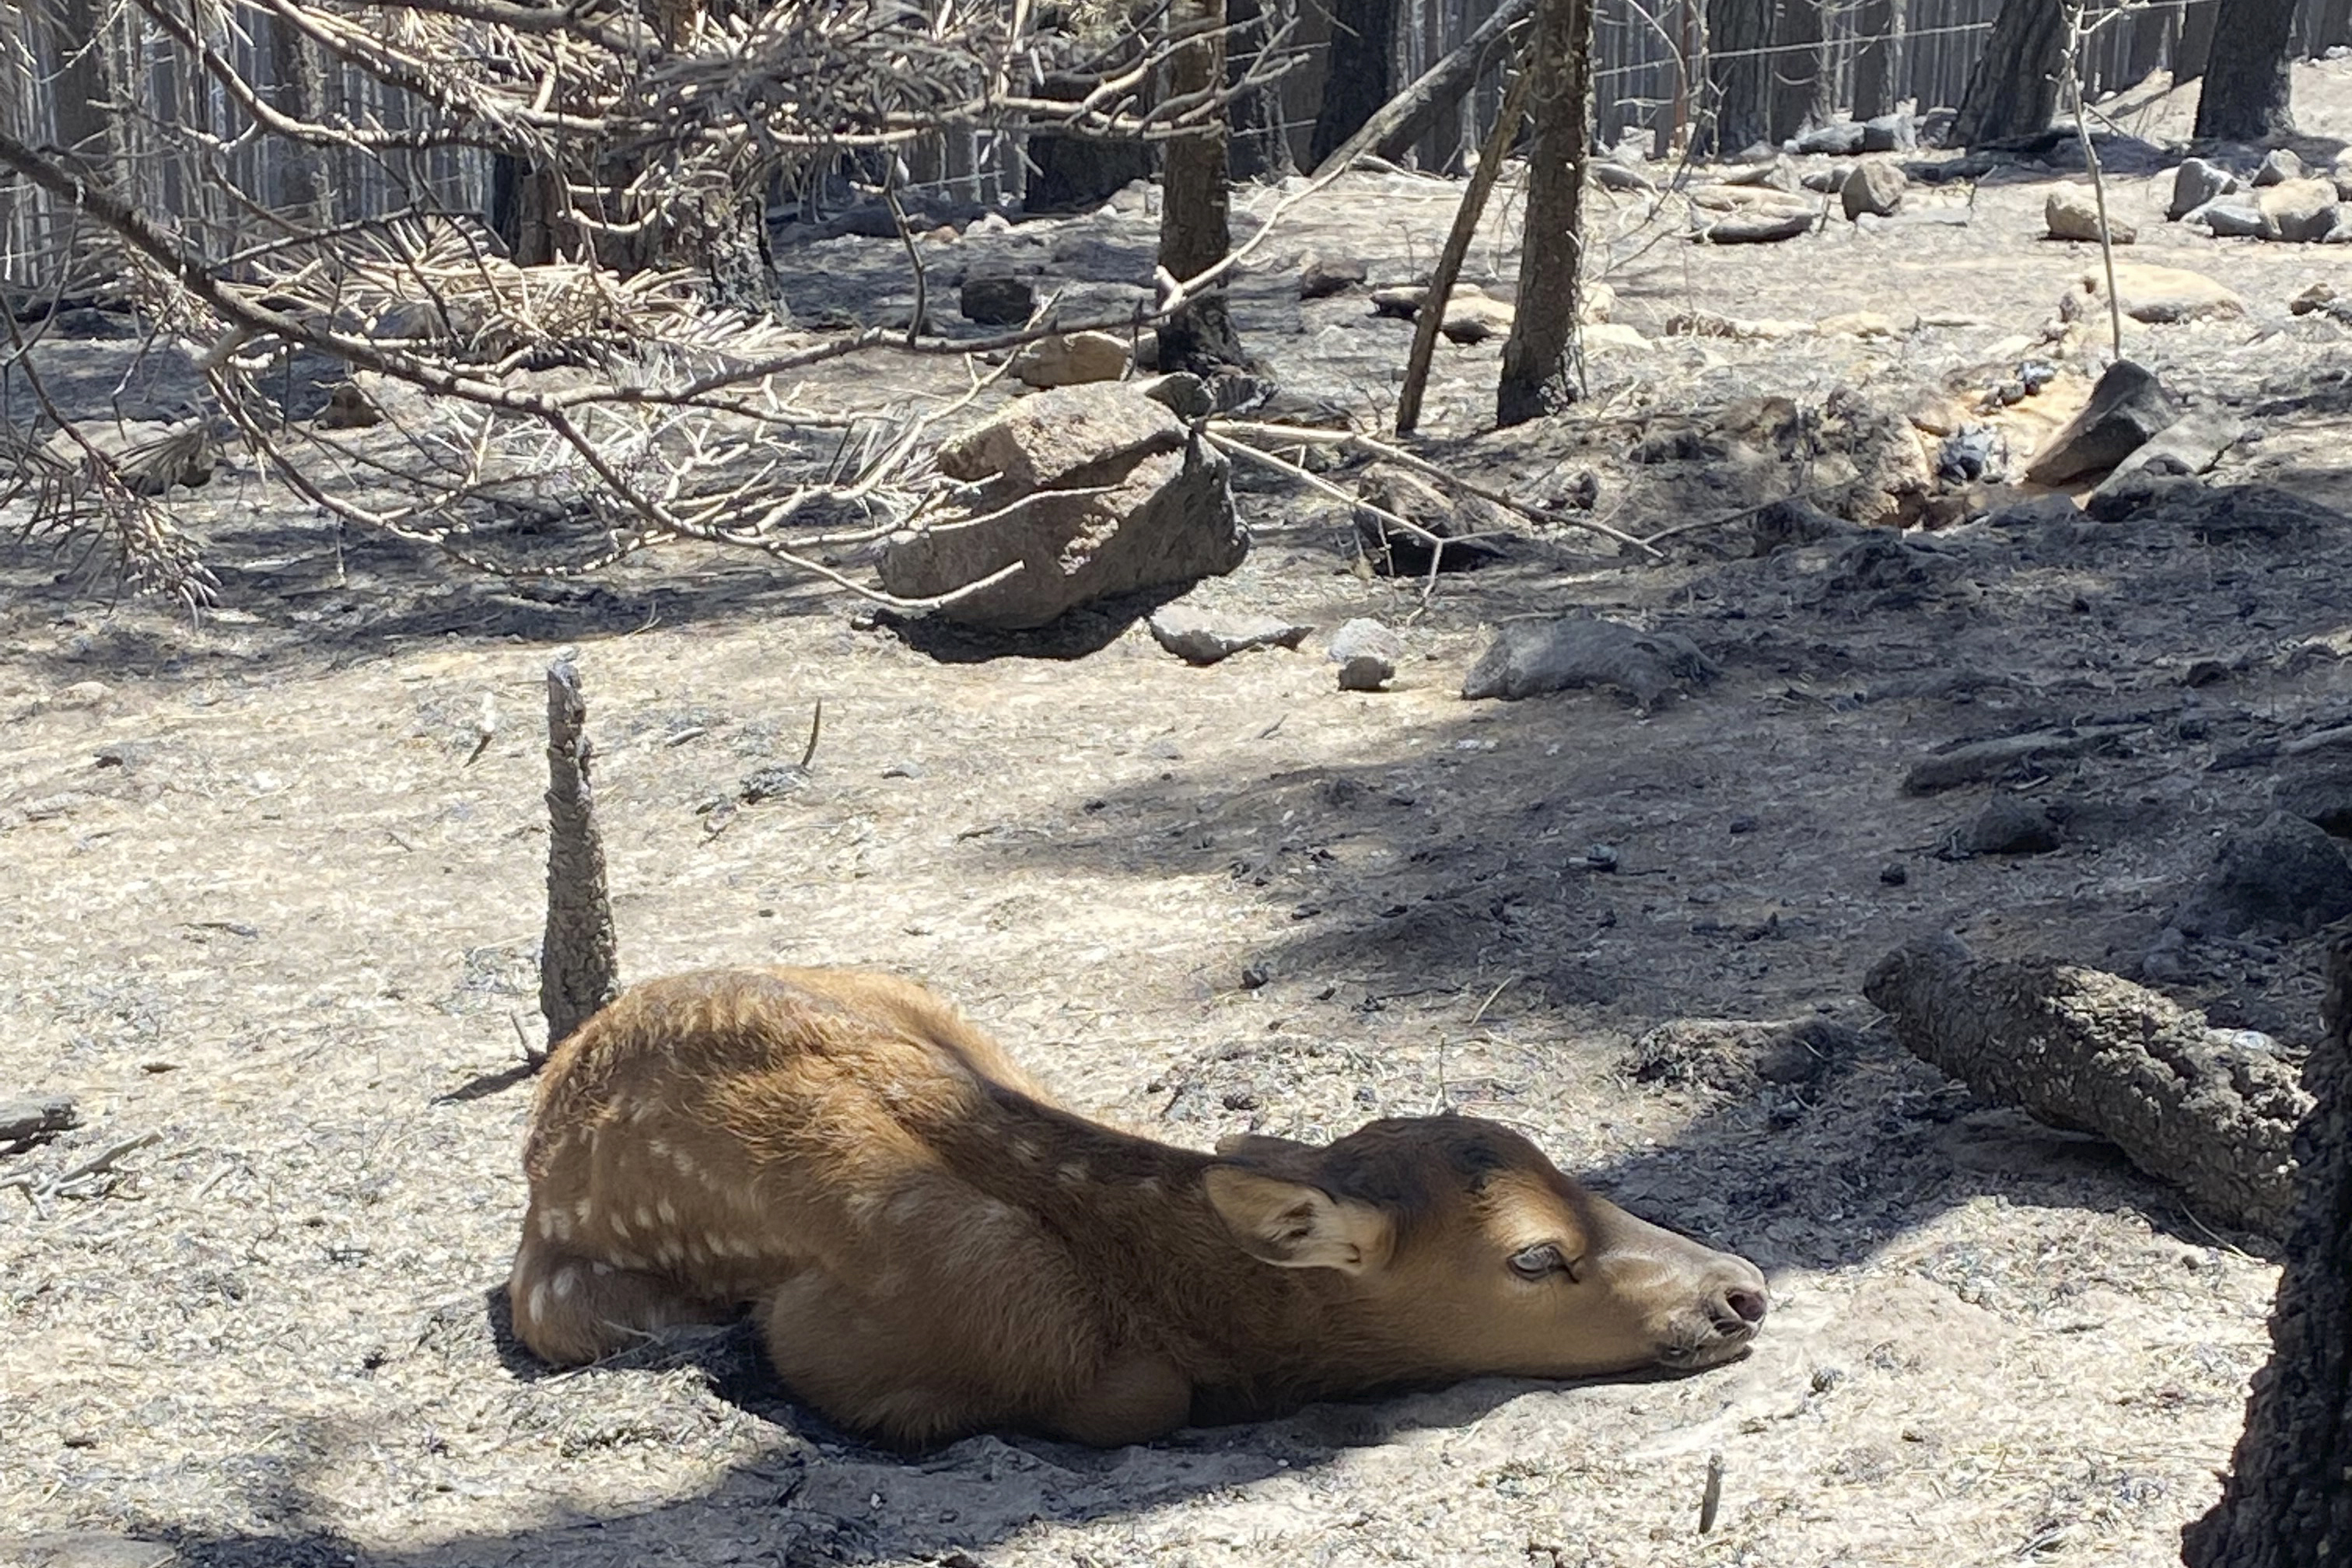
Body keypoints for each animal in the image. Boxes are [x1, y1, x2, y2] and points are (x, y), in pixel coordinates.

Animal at [510, 968, 1769, 1447]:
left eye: (1580, 1173)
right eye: (1533, 1258)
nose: (1745, 1290)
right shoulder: (869, 1332)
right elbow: (1136, 1399)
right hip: (563, 1300)